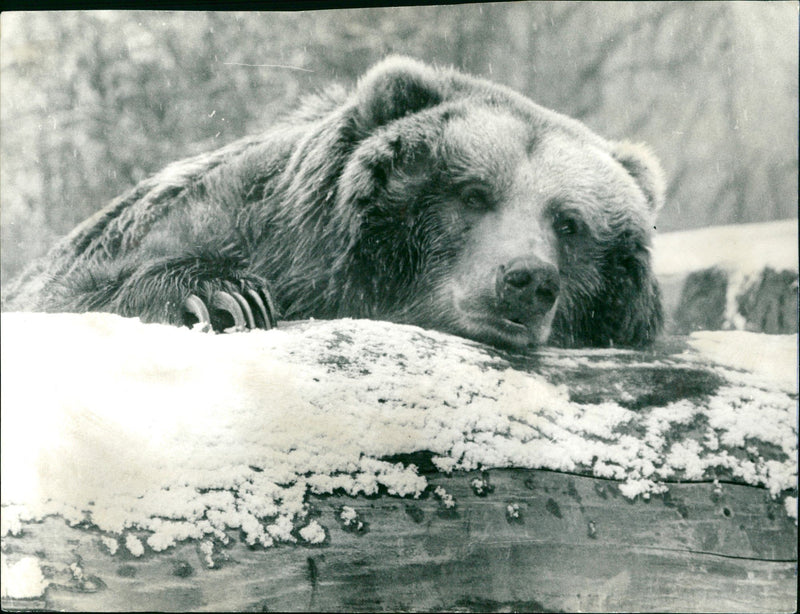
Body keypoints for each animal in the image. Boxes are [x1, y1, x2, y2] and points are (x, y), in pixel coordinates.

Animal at [2, 56, 665, 350]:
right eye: (474, 192)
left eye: (569, 223)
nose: (527, 279)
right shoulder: (220, 219)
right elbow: (68, 295)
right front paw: (224, 296)